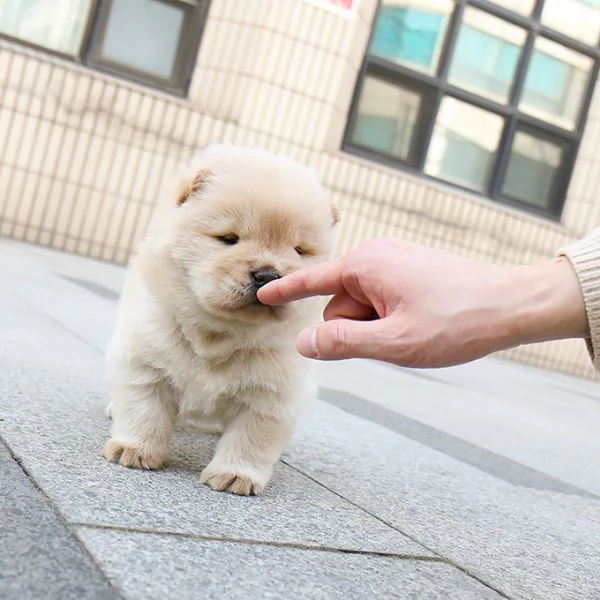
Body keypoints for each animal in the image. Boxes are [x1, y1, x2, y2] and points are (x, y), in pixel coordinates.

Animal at [103, 143, 338, 494]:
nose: (268, 275)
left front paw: (235, 476)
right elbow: (144, 411)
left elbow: (251, 438)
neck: (219, 334)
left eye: (300, 250)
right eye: (228, 238)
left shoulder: (271, 392)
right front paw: (134, 450)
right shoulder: (147, 362)